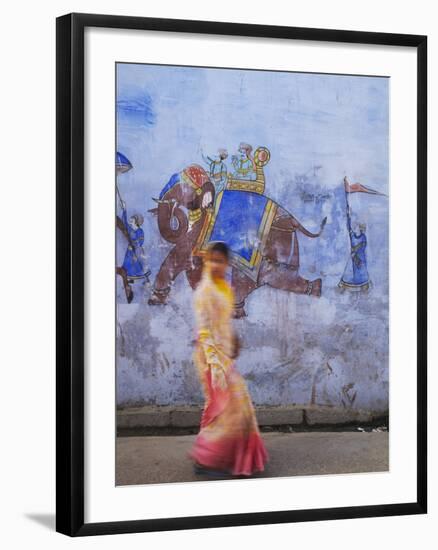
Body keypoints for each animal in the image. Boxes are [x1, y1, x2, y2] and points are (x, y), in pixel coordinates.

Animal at [149, 164, 326, 316]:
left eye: (179, 189)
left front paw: (156, 301)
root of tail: (294, 220)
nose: (172, 208)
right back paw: (316, 290)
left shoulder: (200, 231)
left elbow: (179, 255)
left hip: (278, 238)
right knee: (277, 275)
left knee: (273, 275)